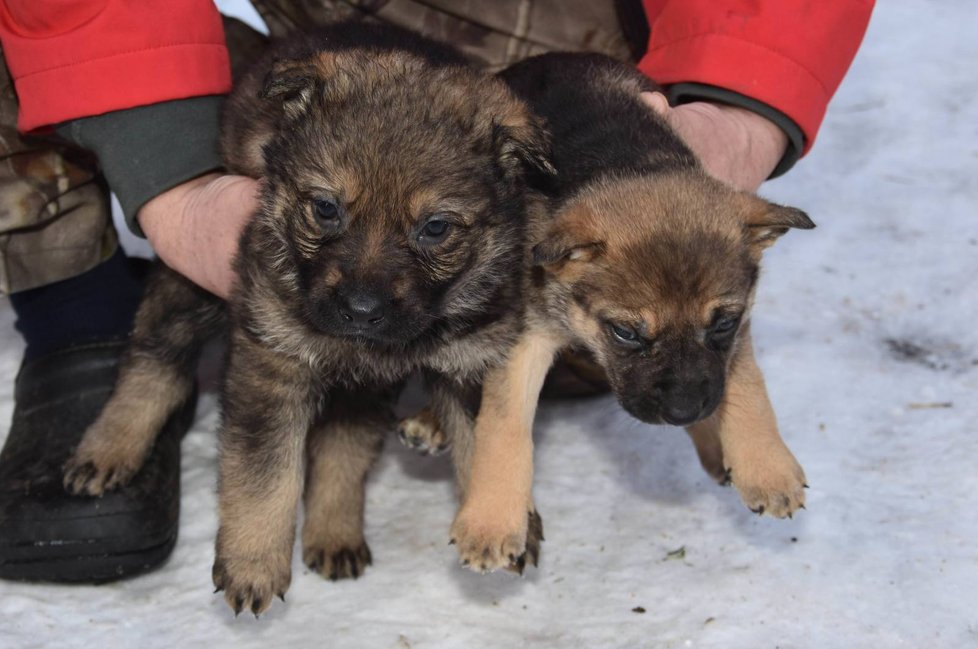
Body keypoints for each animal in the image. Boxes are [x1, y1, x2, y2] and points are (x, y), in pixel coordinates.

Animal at [61, 24, 548, 612]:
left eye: (434, 228)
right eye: (325, 208)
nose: (361, 310)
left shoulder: (460, 365)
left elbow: (475, 444)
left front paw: (498, 523)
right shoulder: (273, 359)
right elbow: (266, 473)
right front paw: (253, 561)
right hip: (190, 285)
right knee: (154, 361)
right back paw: (109, 449)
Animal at [408, 55, 812, 572]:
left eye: (721, 323)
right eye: (626, 333)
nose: (683, 411)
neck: (625, 162)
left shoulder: (736, 332)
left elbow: (745, 384)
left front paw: (767, 467)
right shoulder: (524, 338)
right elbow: (503, 428)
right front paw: (492, 521)